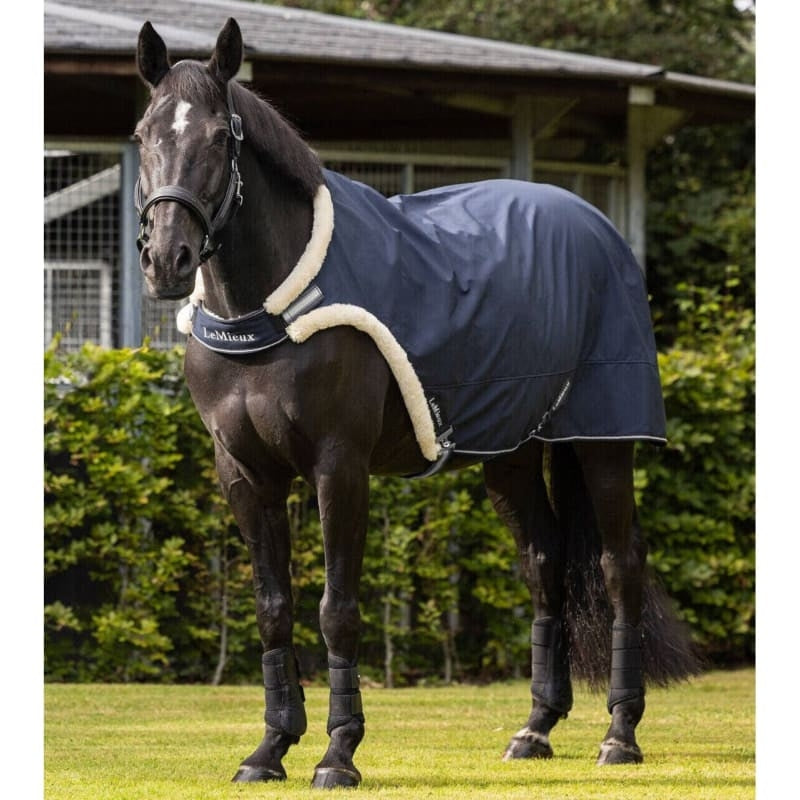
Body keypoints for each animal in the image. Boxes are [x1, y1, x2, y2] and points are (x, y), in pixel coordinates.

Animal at [134, 18, 697, 789]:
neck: (269, 314)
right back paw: (535, 728)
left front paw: (338, 753)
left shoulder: (339, 467)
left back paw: (620, 734)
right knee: (545, 563)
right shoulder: (244, 474)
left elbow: (337, 609)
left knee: (619, 566)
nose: (168, 260)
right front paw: (270, 749)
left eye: (222, 138)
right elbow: (274, 609)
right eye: (141, 135)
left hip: (601, 441)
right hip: (511, 454)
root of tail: (595, 225)